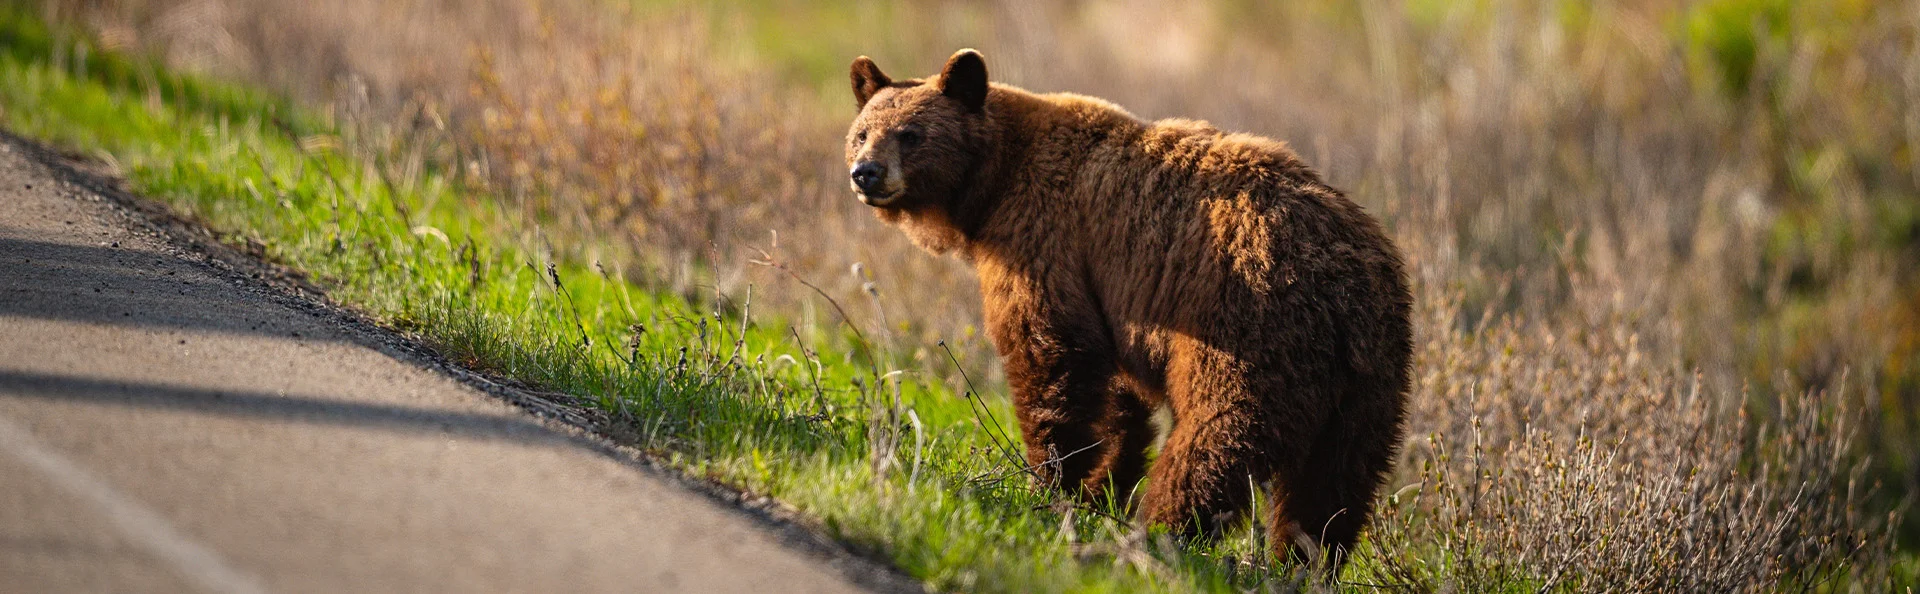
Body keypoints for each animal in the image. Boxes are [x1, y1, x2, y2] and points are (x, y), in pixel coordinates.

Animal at [844, 49, 1413, 567]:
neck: (994, 183)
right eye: (863, 131)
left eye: (911, 133)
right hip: (1370, 381)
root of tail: (1346, 286)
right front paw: (1102, 485)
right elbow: (1117, 395)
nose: (865, 173)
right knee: (1336, 480)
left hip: (1249, 328)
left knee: (1218, 435)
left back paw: (1162, 531)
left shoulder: (1046, 236)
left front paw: (1051, 482)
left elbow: (1051, 355)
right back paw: (1305, 559)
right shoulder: (1115, 301)